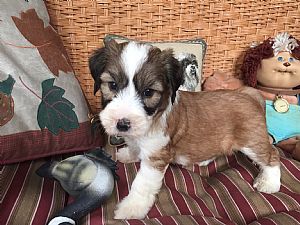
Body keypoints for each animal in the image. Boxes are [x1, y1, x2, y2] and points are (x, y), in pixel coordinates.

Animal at [89, 39, 282, 219]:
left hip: (252, 142)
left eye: (148, 92)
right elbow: (135, 147)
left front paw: (132, 207)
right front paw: (129, 154)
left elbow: (142, 184)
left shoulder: (156, 157)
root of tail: (248, 94)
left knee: (272, 155)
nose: (122, 124)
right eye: (112, 85)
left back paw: (269, 182)